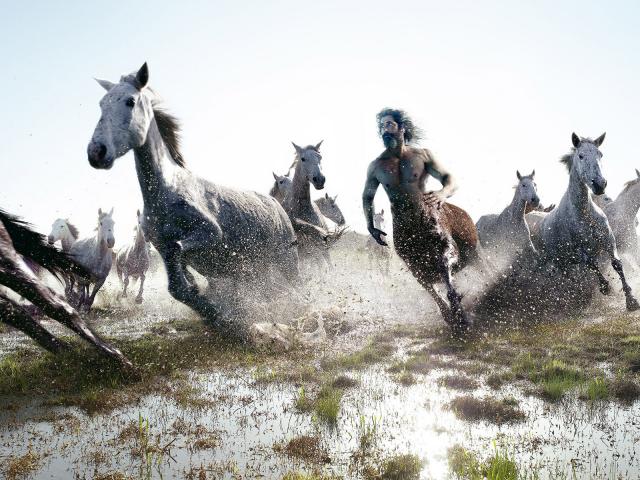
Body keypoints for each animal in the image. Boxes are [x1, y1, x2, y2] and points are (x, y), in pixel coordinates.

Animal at [0, 209, 132, 368]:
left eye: (113, 223)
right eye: (100, 223)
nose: (111, 241)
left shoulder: (99, 280)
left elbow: (90, 297)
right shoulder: (75, 276)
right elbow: (75, 292)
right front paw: (79, 308)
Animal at [87, 63, 299, 338]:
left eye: (130, 101)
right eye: (102, 104)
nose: (96, 152)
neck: (166, 193)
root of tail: (277, 205)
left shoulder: (211, 233)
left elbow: (180, 254)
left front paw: (217, 312)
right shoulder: (162, 248)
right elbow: (177, 286)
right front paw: (212, 310)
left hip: (287, 260)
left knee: (298, 288)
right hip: (254, 267)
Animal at [532, 132, 639, 311]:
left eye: (600, 154)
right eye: (581, 156)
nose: (600, 184)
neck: (584, 214)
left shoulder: (609, 240)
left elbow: (617, 263)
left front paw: (631, 300)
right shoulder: (580, 250)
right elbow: (592, 264)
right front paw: (606, 288)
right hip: (559, 261)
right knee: (569, 276)